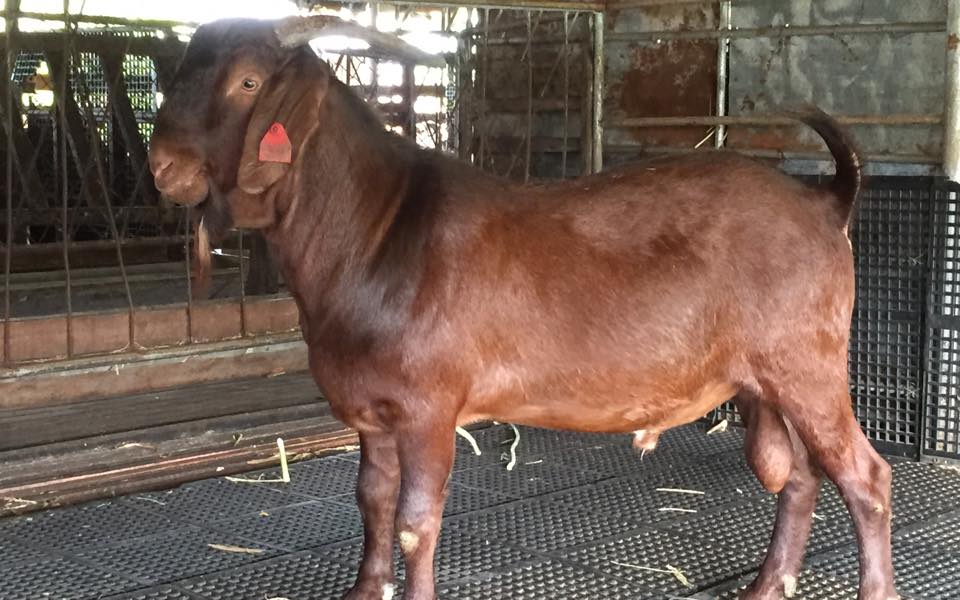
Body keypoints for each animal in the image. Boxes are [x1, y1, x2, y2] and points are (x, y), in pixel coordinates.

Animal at [148, 16, 898, 600]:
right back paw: (766, 584)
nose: (163, 165)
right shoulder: (372, 411)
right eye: (179, 71)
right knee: (799, 476)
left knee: (865, 477)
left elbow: (417, 520)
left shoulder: (429, 406)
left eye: (249, 82)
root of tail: (825, 201)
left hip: (808, 364)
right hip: (762, 381)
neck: (377, 229)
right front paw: (365, 588)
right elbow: (372, 501)